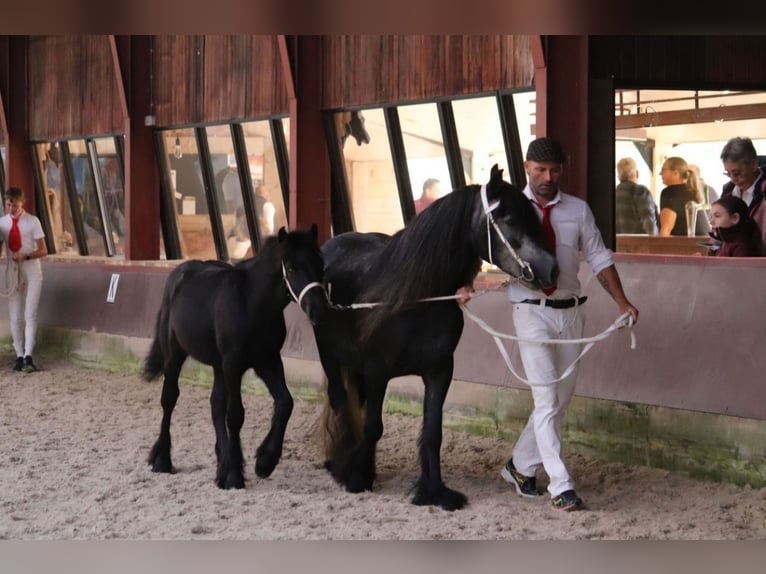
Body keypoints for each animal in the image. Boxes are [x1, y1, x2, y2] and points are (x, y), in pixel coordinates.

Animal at [144, 225, 328, 490]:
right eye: (292, 267)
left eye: (320, 265)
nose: (319, 310)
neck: (251, 303)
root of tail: (179, 274)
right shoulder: (233, 364)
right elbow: (235, 415)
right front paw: (234, 476)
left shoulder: (268, 361)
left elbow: (285, 403)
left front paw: (264, 461)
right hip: (175, 355)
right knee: (169, 400)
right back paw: (162, 461)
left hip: (218, 366)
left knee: (215, 404)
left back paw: (223, 460)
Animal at [312, 166, 560, 512]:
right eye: (510, 220)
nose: (552, 270)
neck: (417, 298)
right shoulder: (377, 372)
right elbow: (374, 425)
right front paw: (358, 478)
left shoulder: (439, 371)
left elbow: (433, 432)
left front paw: (434, 491)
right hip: (330, 355)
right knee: (340, 401)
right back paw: (344, 463)